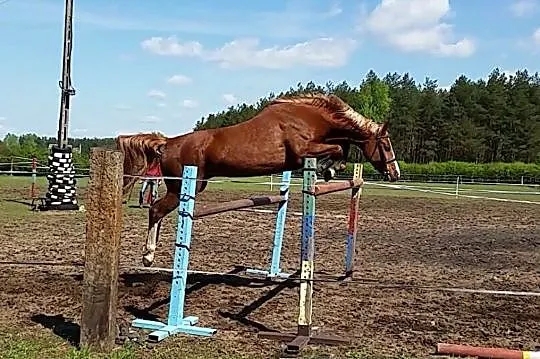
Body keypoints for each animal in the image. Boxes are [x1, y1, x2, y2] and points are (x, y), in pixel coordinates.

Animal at [115, 93, 400, 268]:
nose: (395, 173)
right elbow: (340, 148)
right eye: (385, 145)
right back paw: (148, 256)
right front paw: (330, 169)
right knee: (155, 210)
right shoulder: (303, 151)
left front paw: (330, 170)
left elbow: (342, 147)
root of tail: (169, 142)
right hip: (183, 186)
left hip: (189, 186)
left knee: (159, 212)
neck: (309, 117)